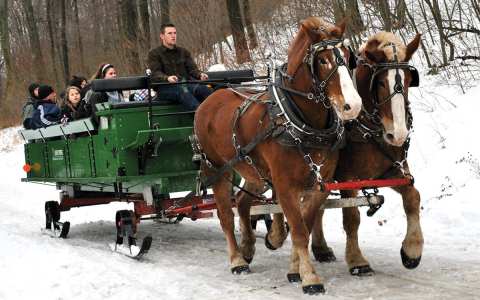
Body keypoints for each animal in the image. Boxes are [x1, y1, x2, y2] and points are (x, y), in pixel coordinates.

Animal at [194, 16, 360, 292]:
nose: (353, 106)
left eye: (348, 56)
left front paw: (294, 268)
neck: (302, 121)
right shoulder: (284, 185)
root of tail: (211, 96)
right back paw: (237, 260)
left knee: (242, 201)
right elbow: (299, 229)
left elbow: (304, 224)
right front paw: (310, 277)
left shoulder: (318, 184)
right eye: (323, 61)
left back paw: (248, 247)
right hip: (217, 170)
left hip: (253, 171)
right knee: (226, 215)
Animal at [312, 31, 424, 276]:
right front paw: (357, 260)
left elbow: (413, 198)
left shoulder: (391, 171)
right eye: (380, 82)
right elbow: (351, 218)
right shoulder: (348, 179)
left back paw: (321, 249)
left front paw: (412, 250)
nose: (397, 134)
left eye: (409, 81)